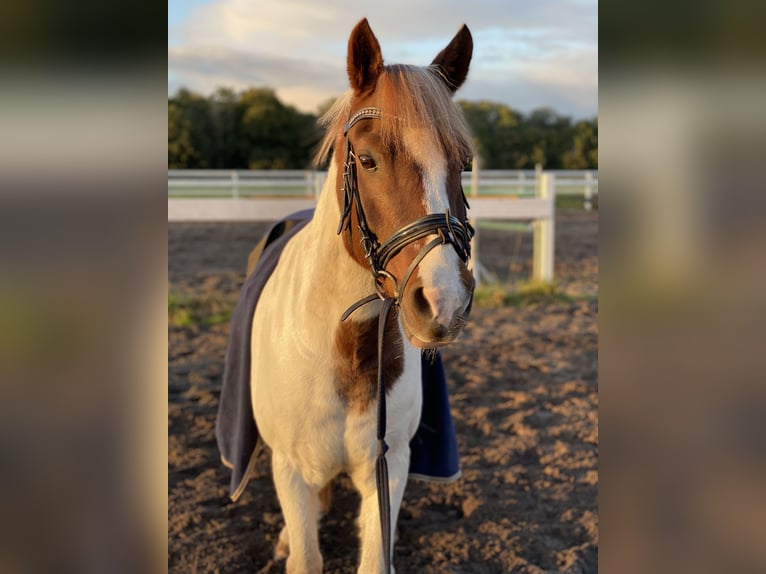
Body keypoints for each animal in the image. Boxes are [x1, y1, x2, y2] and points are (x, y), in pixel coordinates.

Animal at [249, 18, 474, 574]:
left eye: (464, 163)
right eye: (368, 160)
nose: (445, 301)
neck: (341, 352)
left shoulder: (388, 468)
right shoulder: (289, 469)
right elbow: (304, 557)